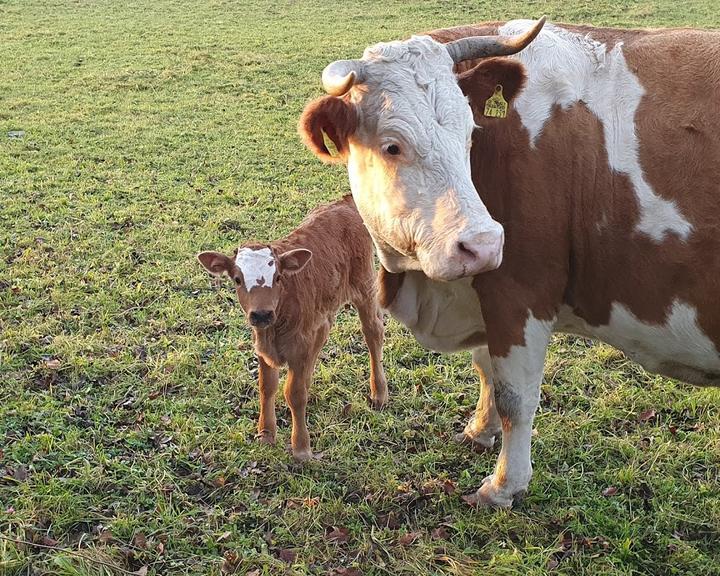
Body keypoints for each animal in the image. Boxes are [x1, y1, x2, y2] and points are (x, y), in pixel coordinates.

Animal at [197, 196, 388, 462]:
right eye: (237, 279)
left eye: (278, 277)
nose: (262, 313)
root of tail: (343, 202)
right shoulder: (263, 342)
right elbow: (267, 387)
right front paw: (266, 434)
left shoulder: (299, 344)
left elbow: (294, 394)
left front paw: (301, 449)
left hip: (364, 285)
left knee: (373, 332)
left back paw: (379, 394)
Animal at [296, 18, 720, 506]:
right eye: (392, 147)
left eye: (469, 133)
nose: (482, 245)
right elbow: (486, 368)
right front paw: (480, 430)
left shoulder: (520, 293)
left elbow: (516, 397)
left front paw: (503, 485)